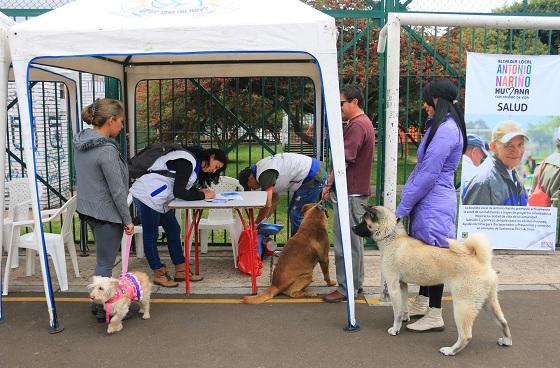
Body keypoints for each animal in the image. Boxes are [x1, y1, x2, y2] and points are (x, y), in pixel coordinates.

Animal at [354, 206, 512, 356]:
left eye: (364, 222)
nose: (353, 228)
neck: (391, 236)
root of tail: (481, 262)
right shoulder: (402, 285)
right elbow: (404, 306)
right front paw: (405, 318)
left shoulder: (393, 286)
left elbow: (397, 312)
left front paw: (395, 329)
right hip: (488, 303)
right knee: (503, 322)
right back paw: (506, 341)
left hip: (463, 306)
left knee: (466, 335)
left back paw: (450, 351)